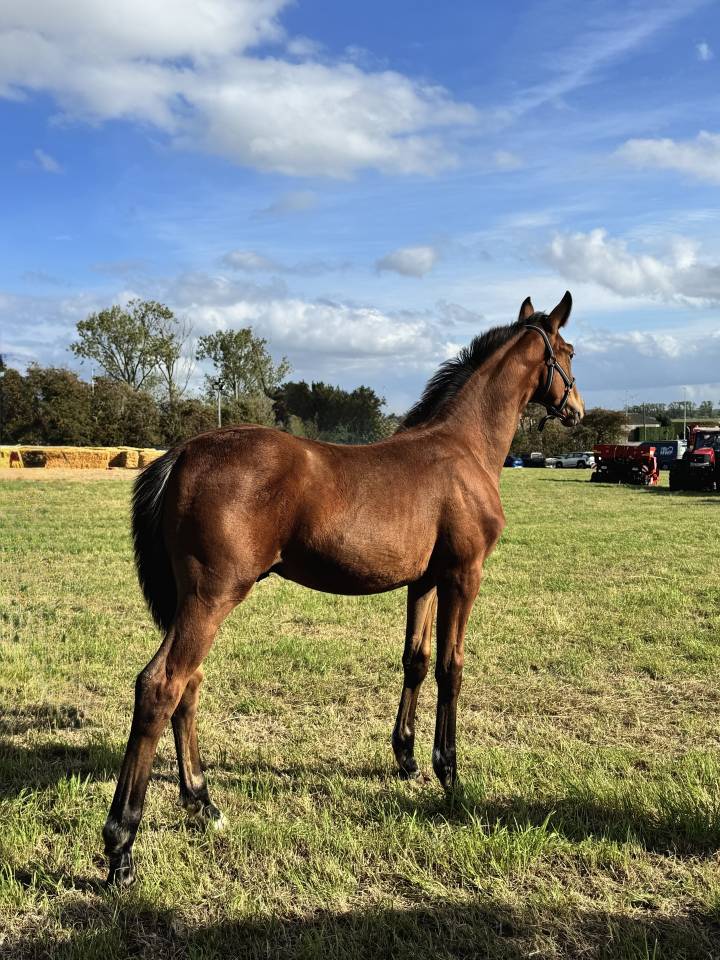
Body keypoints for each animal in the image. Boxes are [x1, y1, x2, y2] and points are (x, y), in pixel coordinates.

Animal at [103, 291, 584, 886]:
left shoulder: (423, 582)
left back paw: (203, 802)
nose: (578, 409)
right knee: (161, 685)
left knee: (187, 685)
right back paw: (122, 845)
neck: (462, 449)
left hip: (193, 601)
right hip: (211, 596)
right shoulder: (463, 576)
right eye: (568, 351)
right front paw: (449, 772)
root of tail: (185, 452)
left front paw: (406, 758)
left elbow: (416, 660)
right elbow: (452, 667)